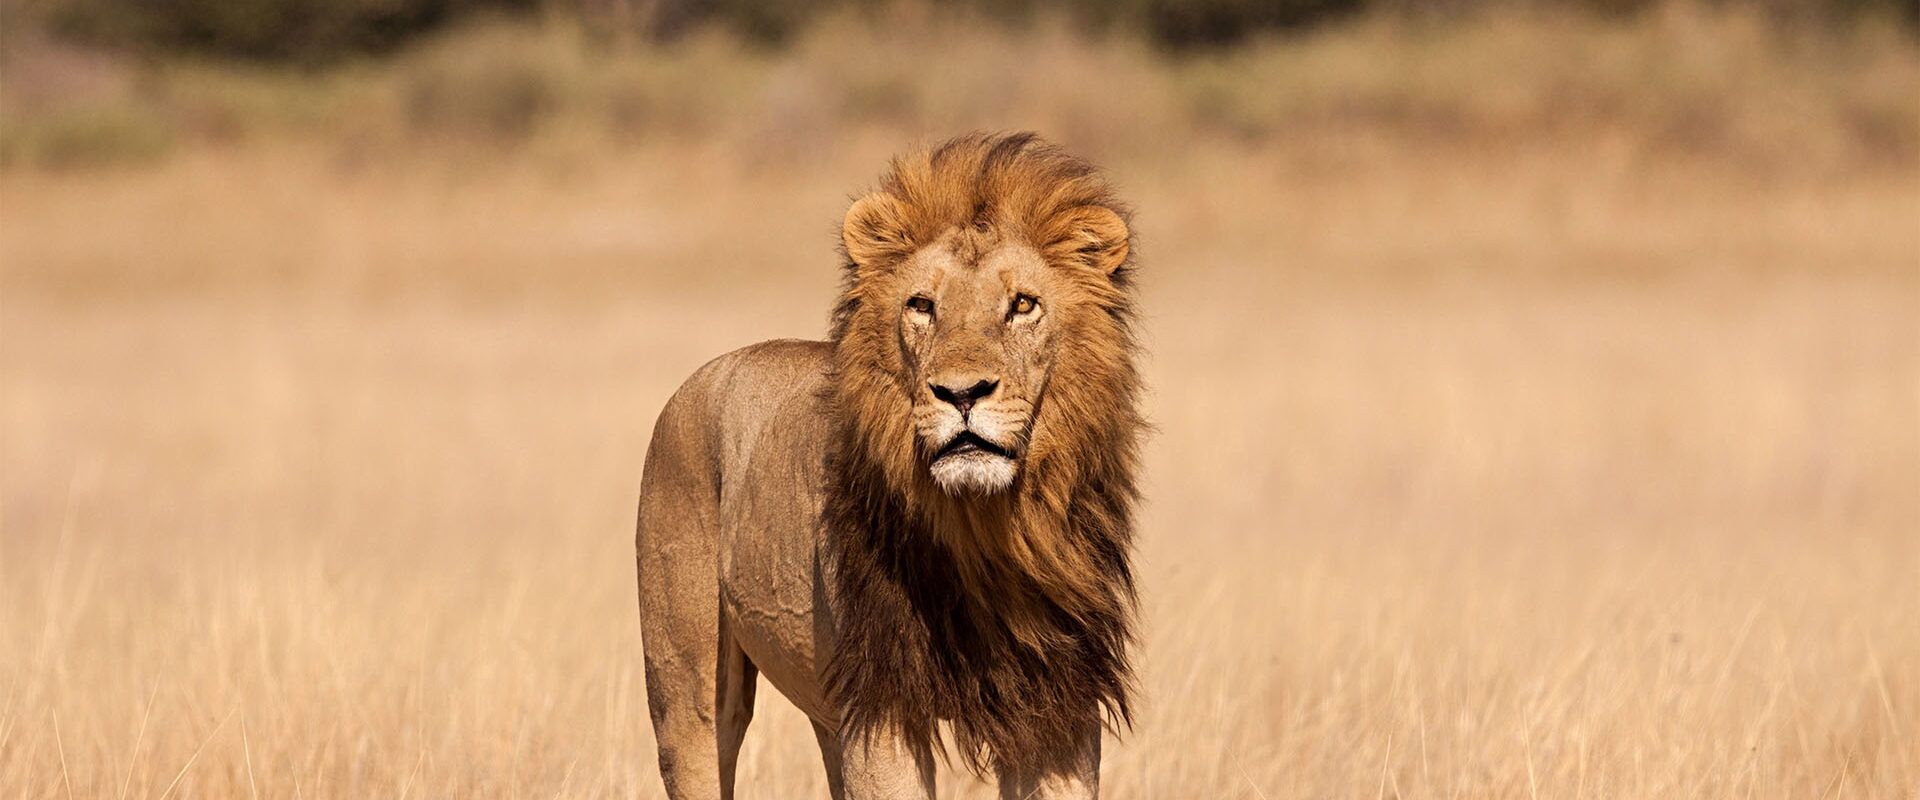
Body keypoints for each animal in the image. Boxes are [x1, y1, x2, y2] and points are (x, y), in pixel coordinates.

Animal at [635, 132, 1144, 800]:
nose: (961, 393)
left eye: (1023, 304)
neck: (982, 532)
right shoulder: (881, 708)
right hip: (688, 692)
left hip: (827, 710)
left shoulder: (1058, 705)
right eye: (922, 305)